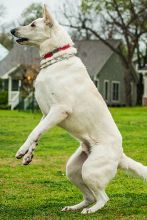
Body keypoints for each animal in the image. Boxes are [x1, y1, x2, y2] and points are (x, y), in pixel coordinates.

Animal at [11, 4, 147, 215]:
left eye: (32, 24)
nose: (12, 31)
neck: (56, 59)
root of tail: (120, 155)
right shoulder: (45, 114)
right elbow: (37, 133)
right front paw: (28, 156)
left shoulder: (59, 110)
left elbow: (34, 132)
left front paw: (22, 150)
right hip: (73, 170)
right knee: (89, 196)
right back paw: (73, 207)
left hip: (89, 170)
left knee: (103, 198)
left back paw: (90, 210)